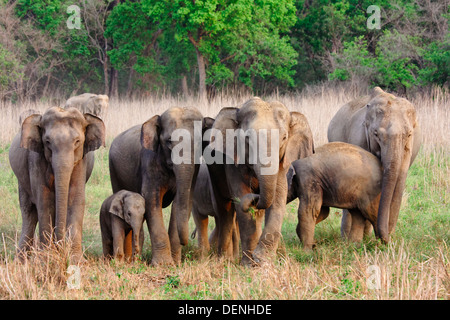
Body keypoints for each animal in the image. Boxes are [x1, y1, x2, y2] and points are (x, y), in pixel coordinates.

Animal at [10, 107, 106, 262]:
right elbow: (44, 201)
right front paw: (45, 260)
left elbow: (75, 198)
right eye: (47, 141)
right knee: (29, 212)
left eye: (77, 141)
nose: (61, 249)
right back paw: (20, 261)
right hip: (21, 180)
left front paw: (76, 260)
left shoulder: (81, 161)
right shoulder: (36, 160)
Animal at [110, 106, 214, 266]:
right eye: (169, 141)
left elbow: (181, 202)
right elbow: (151, 199)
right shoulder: (150, 163)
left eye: (198, 142)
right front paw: (163, 265)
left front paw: (175, 263)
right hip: (114, 171)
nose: (186, 242)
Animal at [206, 97, 314, 264]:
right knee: (225, 211)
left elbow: (277, 199)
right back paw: (224, 260)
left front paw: (263, 259)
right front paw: (249, 264)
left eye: (284, 138)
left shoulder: (282, 163)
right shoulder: (232, 162)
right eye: (247, 138)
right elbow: (241, 197)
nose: (256, 194)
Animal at [328, 85, 420, 242]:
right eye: (376, 134)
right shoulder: (358, 138)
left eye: (408, 134)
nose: (386, 239)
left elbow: (399, 178)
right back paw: (347, 238)